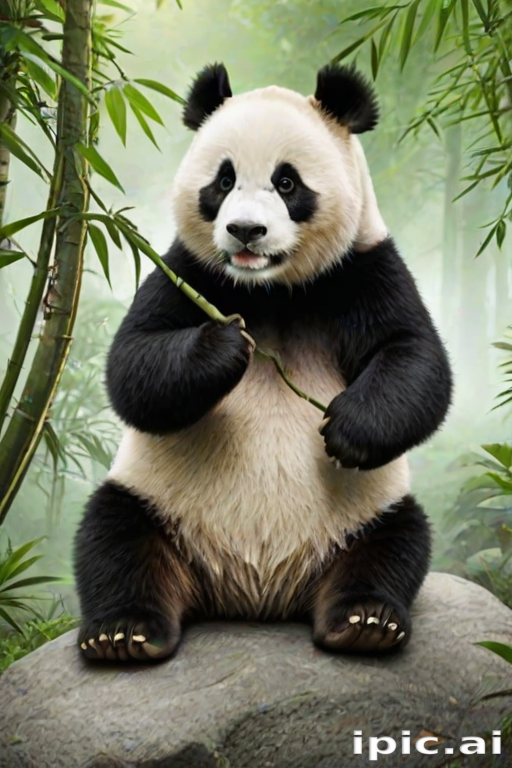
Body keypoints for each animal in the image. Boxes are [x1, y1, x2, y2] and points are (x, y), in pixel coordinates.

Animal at [75, 62, 452, 663]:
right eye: (224, 181)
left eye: (287, 182)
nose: (245, 230)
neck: (270, 290)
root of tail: (254, 594)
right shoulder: (188, 269)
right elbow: (133, 363)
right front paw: (225, 347)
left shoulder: (364, 267)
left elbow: (413, 356)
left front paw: (347, 430)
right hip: (154, 500)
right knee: (114, 536)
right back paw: (124, 634)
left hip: (366, 512)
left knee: (396, 544)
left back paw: (364, 622)